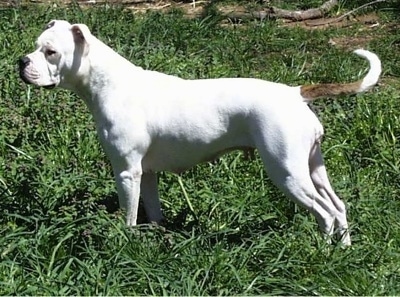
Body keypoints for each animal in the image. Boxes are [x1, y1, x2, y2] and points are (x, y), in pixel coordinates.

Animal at [18, 20, 382, 243]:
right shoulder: (146, 174)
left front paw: (126, 242)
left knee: (324, 213)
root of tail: (295, 93)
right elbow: (153, 212)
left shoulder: (126, 172)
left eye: (51, 52)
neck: (106, 82)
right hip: (313, 168)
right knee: (338, 207)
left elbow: (129, 216)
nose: (22, 61)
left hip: (288, 173)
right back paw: (344, 250)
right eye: (35, 46)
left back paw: (322, 251)